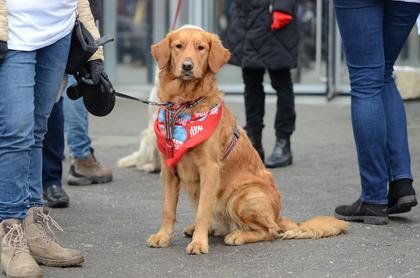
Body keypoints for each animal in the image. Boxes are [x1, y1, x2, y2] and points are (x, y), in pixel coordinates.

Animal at [148, 26, 348, 254]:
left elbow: (203, 211)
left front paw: (199, 243)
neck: (184, 105)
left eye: (200, 47)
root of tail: (278, 215)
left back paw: (237, 235)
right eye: (178, 46)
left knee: (270, 231)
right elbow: (168, 209)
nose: (187, 66)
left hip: (242, 195)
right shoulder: (169, 168)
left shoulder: (210, 168)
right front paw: (163, 237)